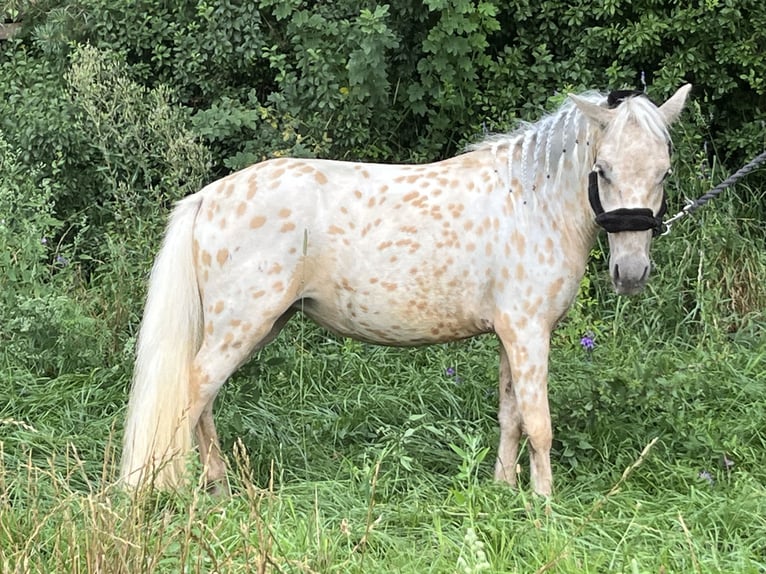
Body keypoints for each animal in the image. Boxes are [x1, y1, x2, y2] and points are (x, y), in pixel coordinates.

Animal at [121, 83, 696, 498]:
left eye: (664, 172)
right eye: (603, 170)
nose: (631, 273)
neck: (531, 202)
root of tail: (208, 196)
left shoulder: (511, 336)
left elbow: (510, 414)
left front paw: (504, 490)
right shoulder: (530, 334)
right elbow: (539, 424)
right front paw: (545, 505)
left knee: (204, 398)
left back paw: (218, 488)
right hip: (241, 325)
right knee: (192, 393)